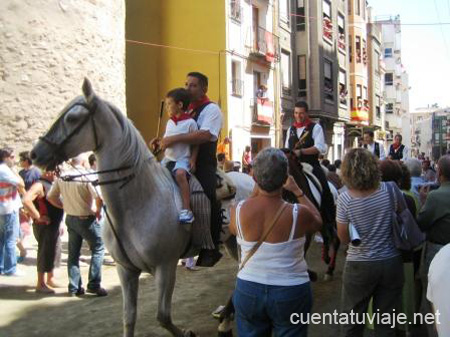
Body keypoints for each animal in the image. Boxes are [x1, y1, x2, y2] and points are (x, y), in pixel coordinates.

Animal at [30, 79, 198, 336]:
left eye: (72, 118)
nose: (34, 153)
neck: (139, 202)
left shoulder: (166, 266)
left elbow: (163, 316)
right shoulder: (125, 270)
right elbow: (129, 317)